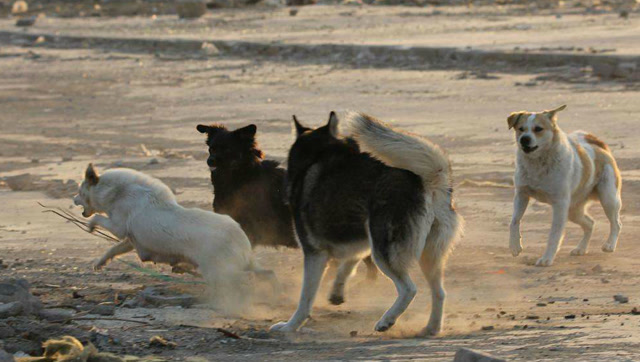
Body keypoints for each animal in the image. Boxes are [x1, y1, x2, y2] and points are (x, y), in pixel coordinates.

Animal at [510, 104, 620, 266]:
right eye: (520, 129)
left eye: (538, 129)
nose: (524, 139)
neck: (538, 163)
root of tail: (599, 146)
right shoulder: (521, 194)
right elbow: (514, 221)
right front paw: (515, 246)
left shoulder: (560, 204)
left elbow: (554, 234)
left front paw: (547, 258)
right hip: (573, 210)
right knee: (590, 223)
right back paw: (581, 248)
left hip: (608, 199)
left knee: (616, 223)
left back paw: (610, 245)